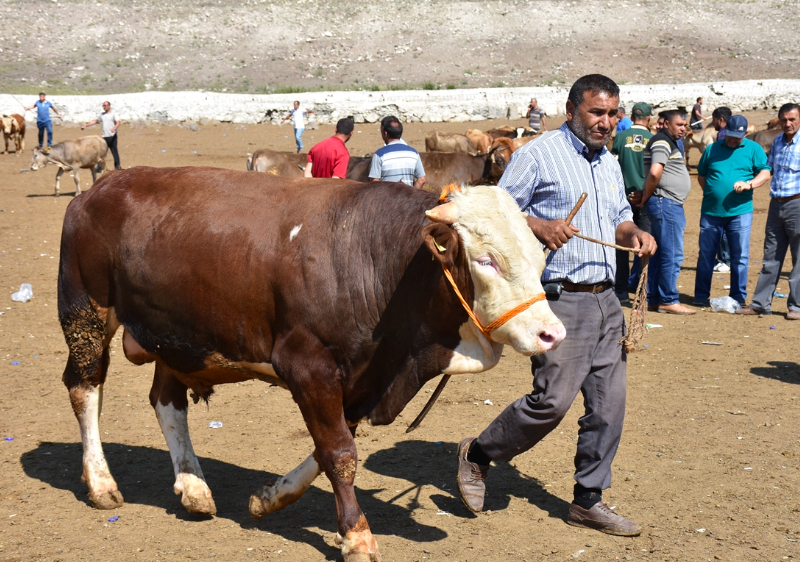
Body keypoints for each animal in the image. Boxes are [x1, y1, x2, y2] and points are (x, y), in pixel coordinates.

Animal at [57, 166, 564, 560]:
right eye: (487, 260)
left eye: (539, 258)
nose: (551, 333)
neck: (373, 256)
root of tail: (95, 190)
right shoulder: (308, 367)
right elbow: (339, 453)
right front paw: (357, 537)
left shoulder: (360, 378)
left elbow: (327, 449)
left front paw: (270, 498)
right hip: (87, 314)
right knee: (84, 389)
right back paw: (100, 483)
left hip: (178, 335)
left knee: (166, 400)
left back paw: (194, 487)